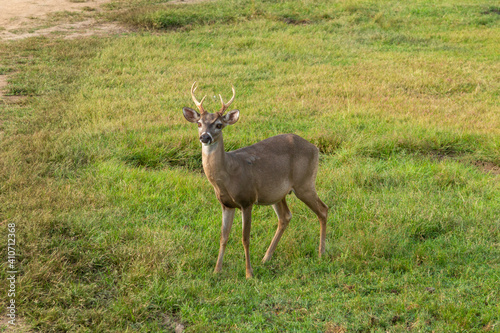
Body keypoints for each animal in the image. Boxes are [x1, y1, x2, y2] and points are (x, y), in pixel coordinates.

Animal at [184, 82, 328, 278]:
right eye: (199, 123)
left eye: (219, 125)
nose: (205, 137)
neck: (227, 175)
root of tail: (314, 147)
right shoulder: (226, 204)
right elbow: (223, 237)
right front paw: (216, 270)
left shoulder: (247, 200)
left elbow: (245, 238)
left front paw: (249, 273)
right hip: (277, 193)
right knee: (285, 216)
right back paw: (266, 258)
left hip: (304, 183)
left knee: (323, 210)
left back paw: (321, 253)